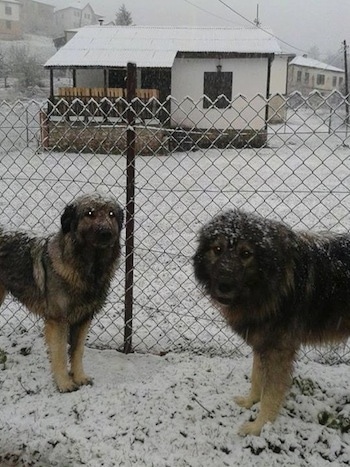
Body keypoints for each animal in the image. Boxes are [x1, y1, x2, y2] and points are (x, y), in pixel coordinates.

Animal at [0, 192, 123, 394]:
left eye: (111, 214)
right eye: (90, 213)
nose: (106, 233)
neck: (88, 268)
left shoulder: (84, 319)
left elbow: (77, 351)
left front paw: (79, 377)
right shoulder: (58, 321)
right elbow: (60, 354)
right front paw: (64, 383)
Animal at [194, 210, 350, 436]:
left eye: (246, 253)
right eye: (217, 249)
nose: (224, 286)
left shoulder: (279, 351)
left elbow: (270, 393)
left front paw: (259, 427)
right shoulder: (262, 344)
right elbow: (257, 378)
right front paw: (250, 402)